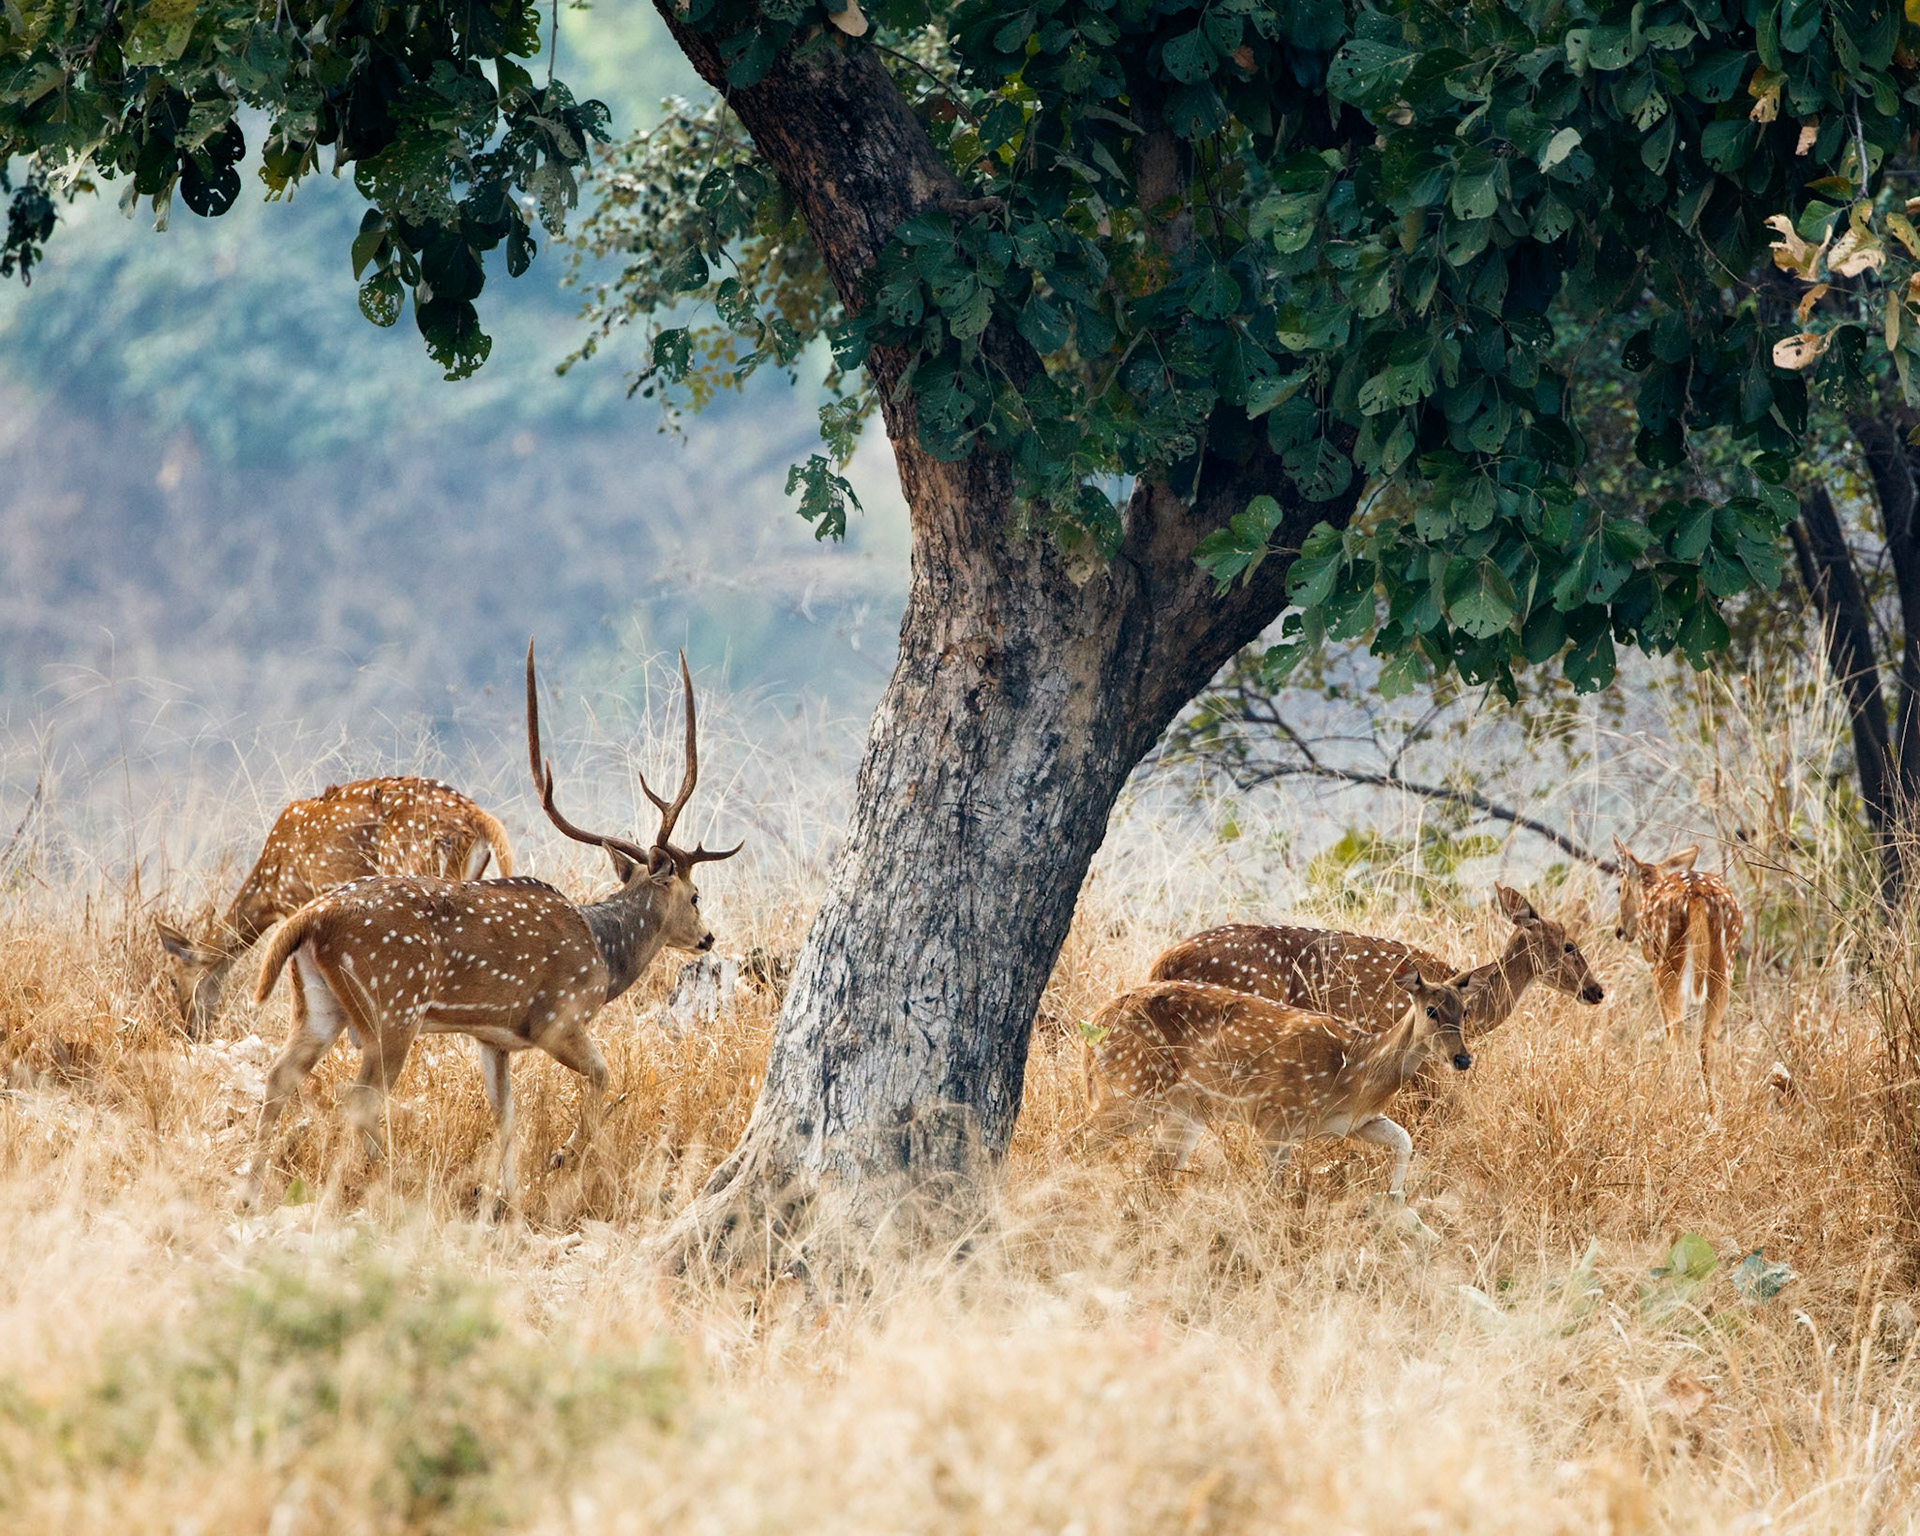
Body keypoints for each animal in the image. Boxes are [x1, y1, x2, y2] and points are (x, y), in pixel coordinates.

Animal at [156, 777, 515, 1037]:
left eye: (173, 979)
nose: (189, 1032)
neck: (266, 889)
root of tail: (477, 818)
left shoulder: (296, 899)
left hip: (415, 862)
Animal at [240, 643, 740, 1212]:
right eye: (696, 895)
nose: (707, 937)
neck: (604, 954)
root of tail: (312, 916)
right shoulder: (557, 1017)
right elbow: (602, 1074)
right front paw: (562, 1156)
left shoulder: (493, 1039)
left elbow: (505, 1116)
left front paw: (511, 1197)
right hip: (393, 1004)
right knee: (358, 1098)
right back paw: (393, 1181)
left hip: (319, 1004)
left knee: (280, 1076)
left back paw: (252, 1191)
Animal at [1074, 962, 1473, 1200]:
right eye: (1431, 1010)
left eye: (1465, 1011)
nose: (1463, 1058)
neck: (1354, 1071)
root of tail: (1093, 1026)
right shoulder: (1274, 1116)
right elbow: (1275, 1190)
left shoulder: (1356, 1122)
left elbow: (1404, 1139)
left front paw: (1395, 1198)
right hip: (1129, 1085)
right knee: (1077, 1140)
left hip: (1181, 1112)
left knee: (1153, 1170)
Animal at [1612, 839, 1743, 1087]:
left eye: (1618, 888)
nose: (1620, 931)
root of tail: (1697, 895)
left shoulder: (1652, 966)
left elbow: (1666, 1026)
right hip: (1725, 961)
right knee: (1707, 1038)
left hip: (1668, 959)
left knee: (1677, 1030)